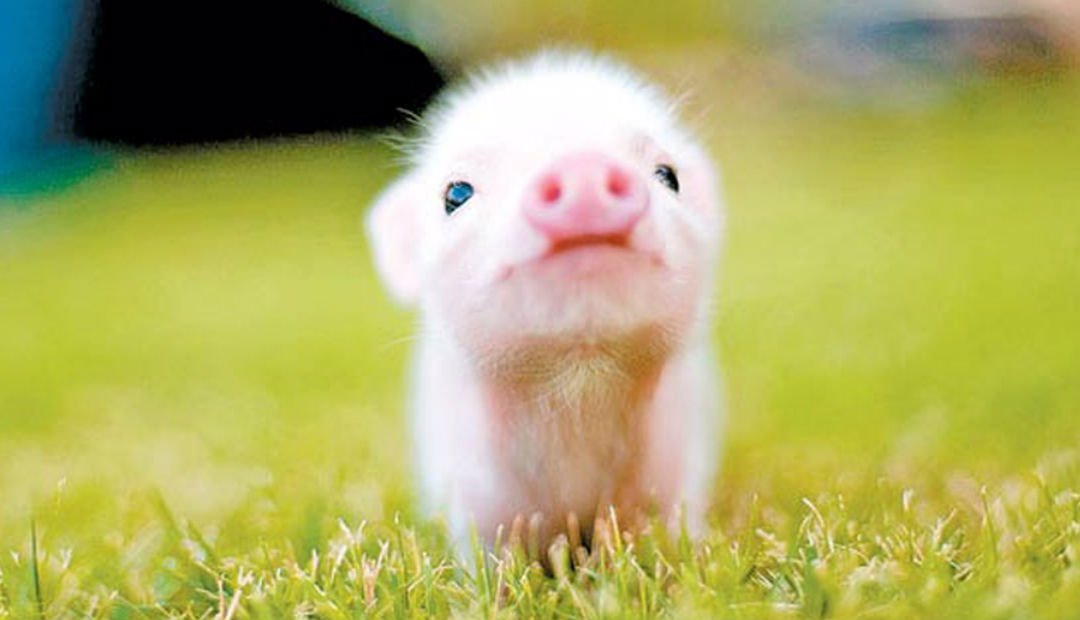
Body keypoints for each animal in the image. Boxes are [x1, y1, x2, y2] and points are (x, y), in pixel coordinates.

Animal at [366, 51, 724, 558]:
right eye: (456, 193)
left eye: (667, 175)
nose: (582, 166)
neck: (578, 386)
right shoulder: (473, 491)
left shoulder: (679, 460)